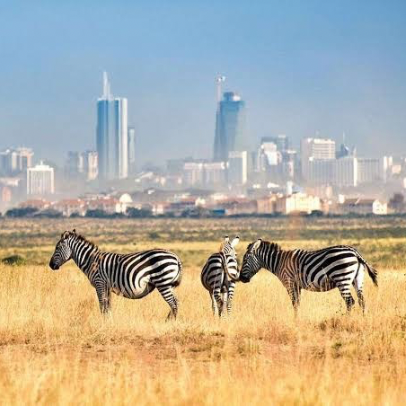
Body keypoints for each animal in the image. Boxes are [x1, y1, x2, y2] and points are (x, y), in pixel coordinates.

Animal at [48, 228, 182, 320]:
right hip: (168, 284)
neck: (91, 260)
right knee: (176, 301)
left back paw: (169, 322)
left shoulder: (99, 282)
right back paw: (169, 321)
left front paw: (103, 322)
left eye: (57, 248)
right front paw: (109, 321)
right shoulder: (106, 286)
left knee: (173, 303)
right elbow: (108, 305)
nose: (50, 265)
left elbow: (102, 304)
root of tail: (176, 257)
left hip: (162, 282)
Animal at [241, 238, 378, 314]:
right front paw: (297, 319)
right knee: (362, 301)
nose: (241, 278)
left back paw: (346, 321)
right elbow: (297, 303)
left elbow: (294, 303)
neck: (279, 262)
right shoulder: (297, 286)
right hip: (357, 279)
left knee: (350, 302)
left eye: (245, 260)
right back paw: (363, 320)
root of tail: (355, 252)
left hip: (342, 278)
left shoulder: (290, 283)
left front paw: (295, 321)